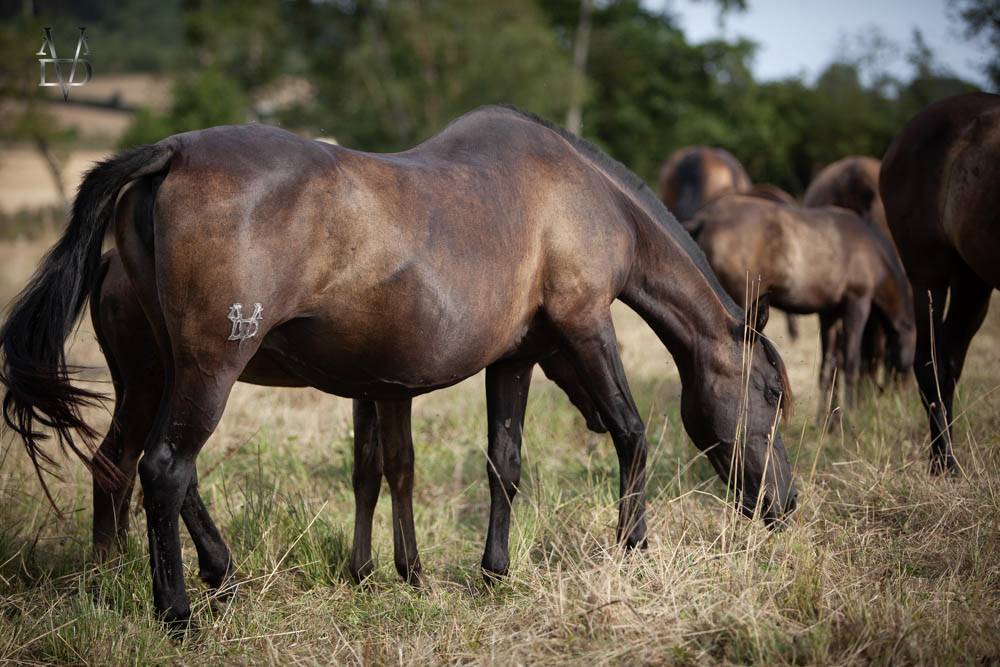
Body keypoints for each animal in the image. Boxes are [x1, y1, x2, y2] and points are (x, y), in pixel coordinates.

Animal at [0, 106, 795, 630]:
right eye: (770, 391)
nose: (785, 504)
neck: (576, 194)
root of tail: (172, 152)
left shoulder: (513, 360)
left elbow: (502, 462)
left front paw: (491, 572)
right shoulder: (586, 324)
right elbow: (633, 434)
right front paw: (633, 547)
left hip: (161, 376)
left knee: (128, 465)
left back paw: (147, 581)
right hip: (207, 370)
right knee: (164, 469)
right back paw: (180, 612)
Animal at [687, 195, 915, 414]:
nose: (901, 400)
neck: (870, 248)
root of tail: (705, 217)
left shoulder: (829, 314)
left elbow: (829, 368)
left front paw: (827, 420)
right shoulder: (857, 304)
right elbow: (850, 363)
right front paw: (851, 416)